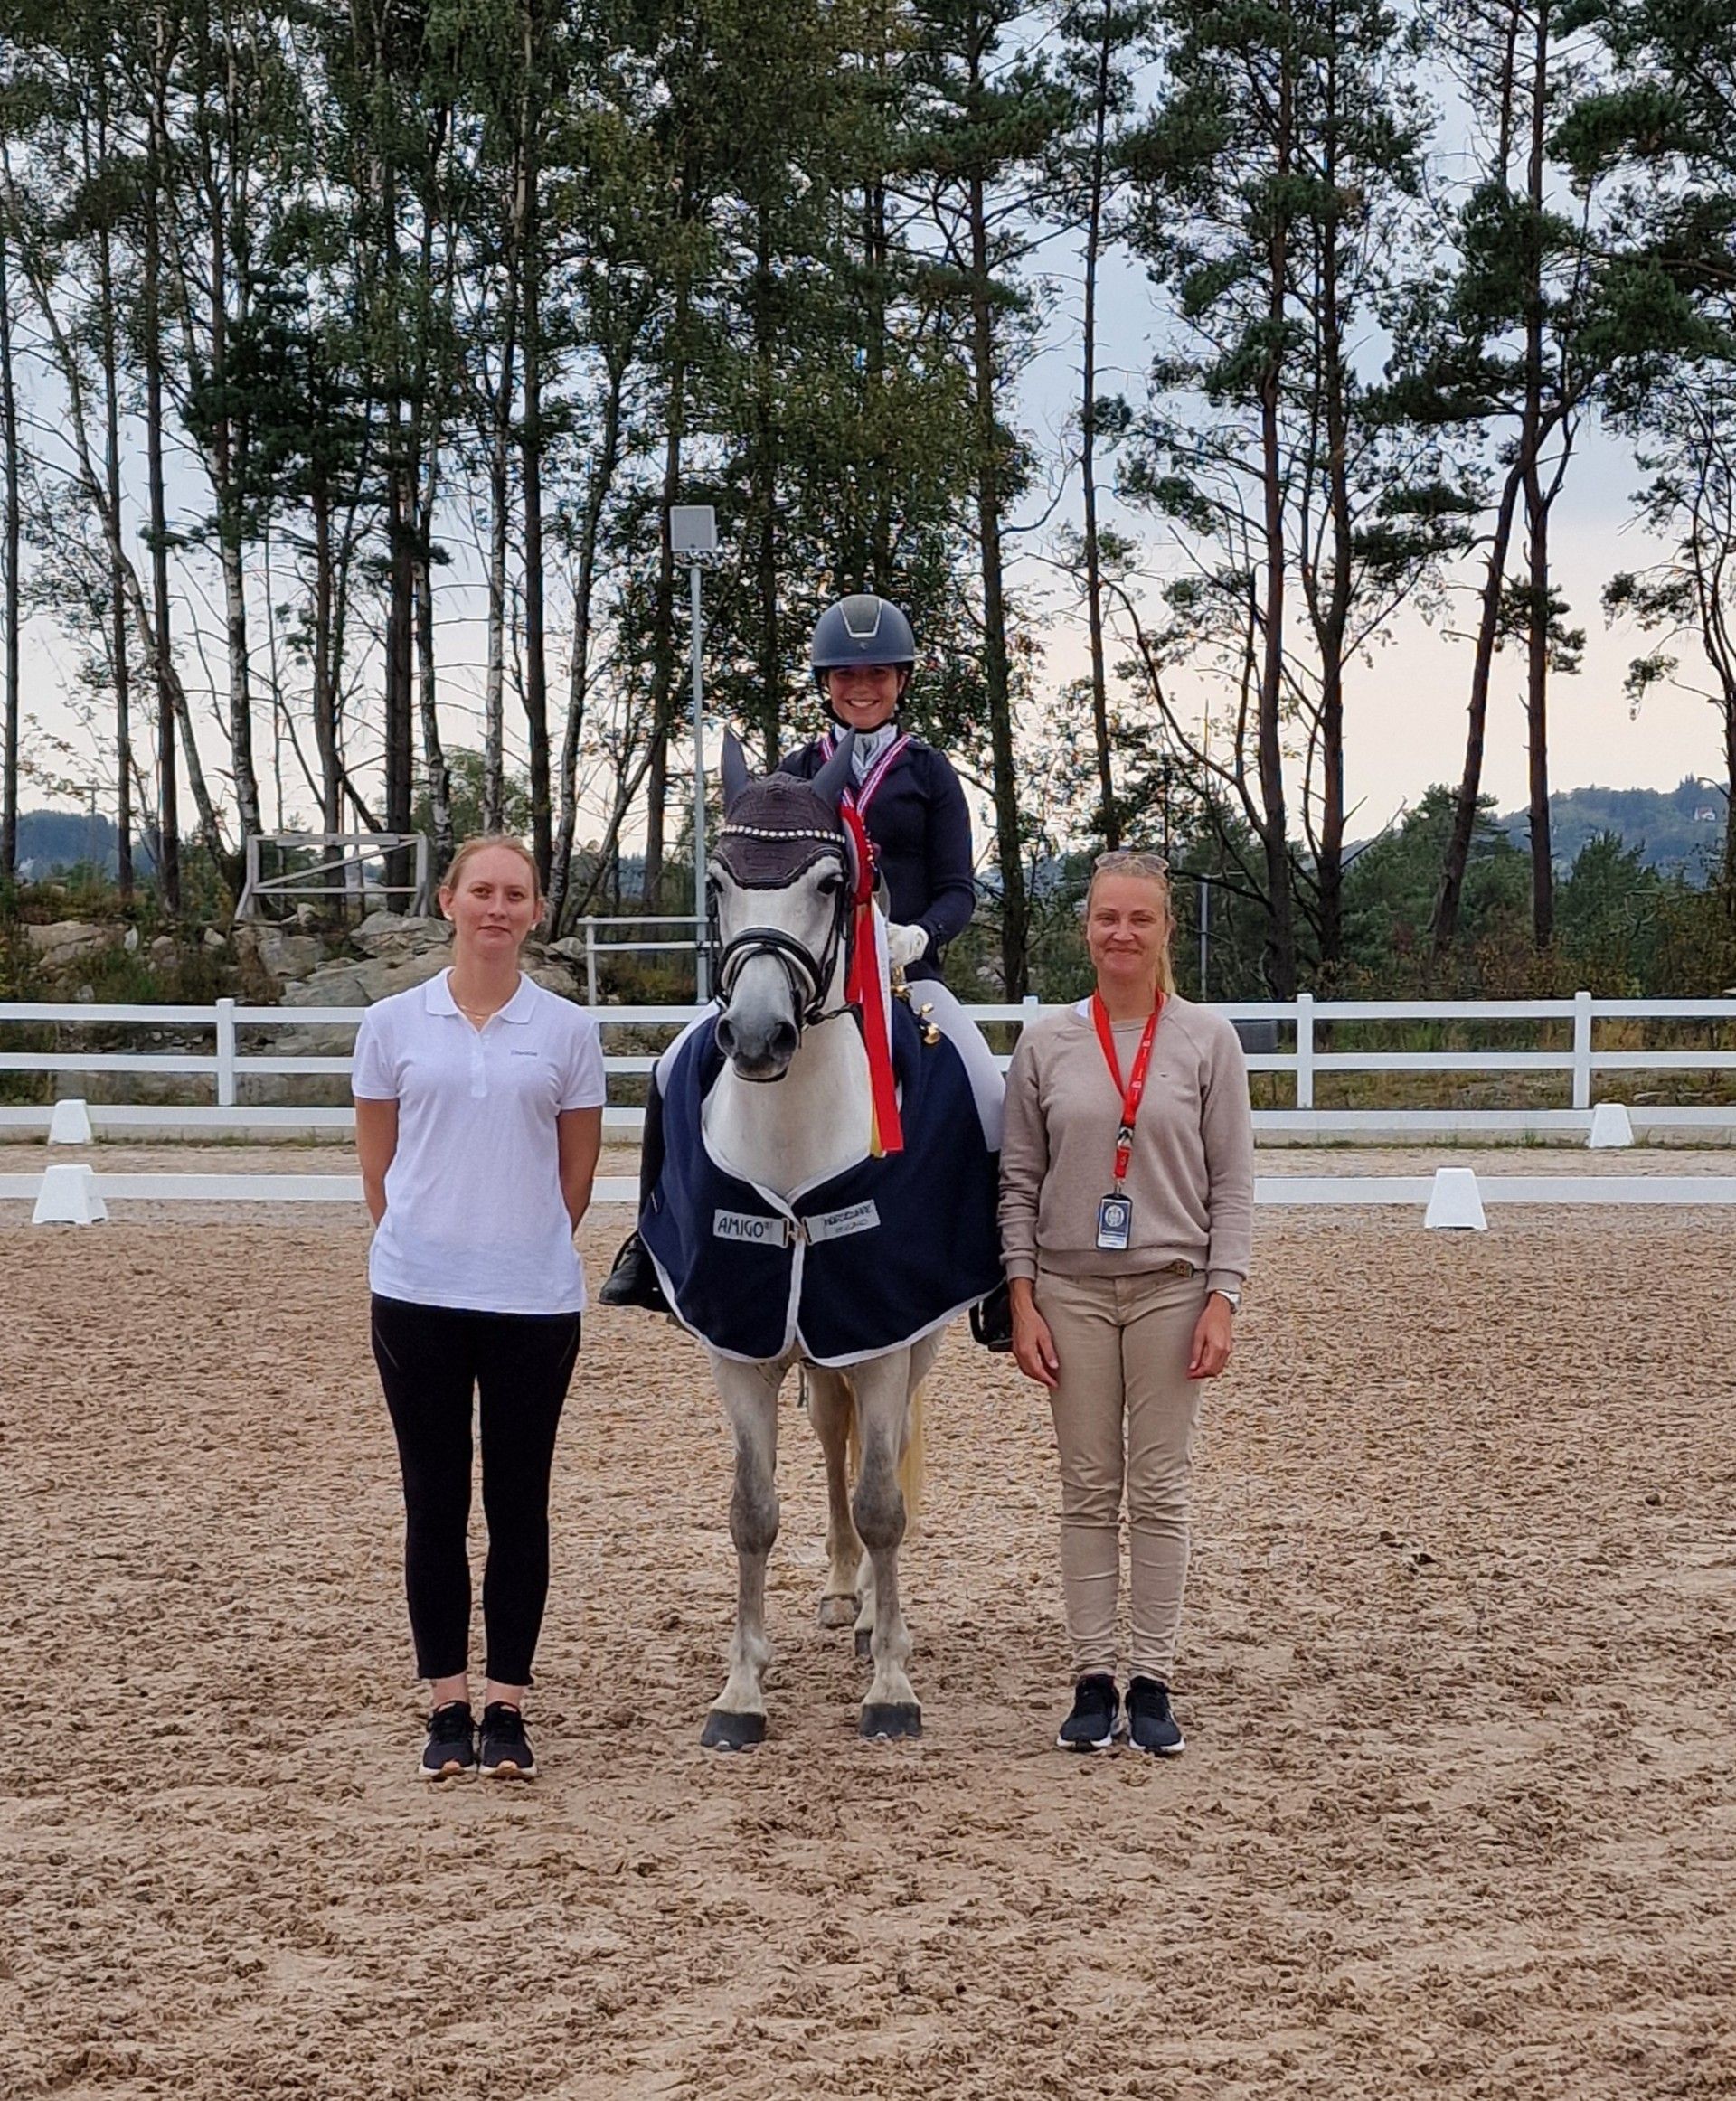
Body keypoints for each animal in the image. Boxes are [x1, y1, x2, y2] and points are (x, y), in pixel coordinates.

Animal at [639, 730, 1001, 1746]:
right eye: (717, 880)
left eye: (836, 882)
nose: (758, 1036)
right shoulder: (741, 1344)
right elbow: (752, 1512)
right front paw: (739, 1694)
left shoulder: (880, 1332)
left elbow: (884, 1504)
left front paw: (891, 1688)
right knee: (834, 1441)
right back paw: (845, 1594)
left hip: (904, 1342)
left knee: (881, 1456)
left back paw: (878, 1615)